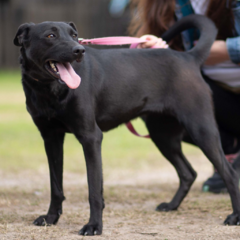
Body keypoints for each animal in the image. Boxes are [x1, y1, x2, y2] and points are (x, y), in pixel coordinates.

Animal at [14, 14, 240, 234]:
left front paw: (94, 226)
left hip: (201, 129)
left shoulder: (90, 137)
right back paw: (171, 205)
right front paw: (51, 218)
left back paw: (234, 216)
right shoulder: (51, 138)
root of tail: (188, 57)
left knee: (229, 173)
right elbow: (56, 186)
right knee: (188, 173)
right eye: (50, 35)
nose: (79, 50)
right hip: (163, 135)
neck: (49, 89)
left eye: (74, 35)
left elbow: (94, 189)